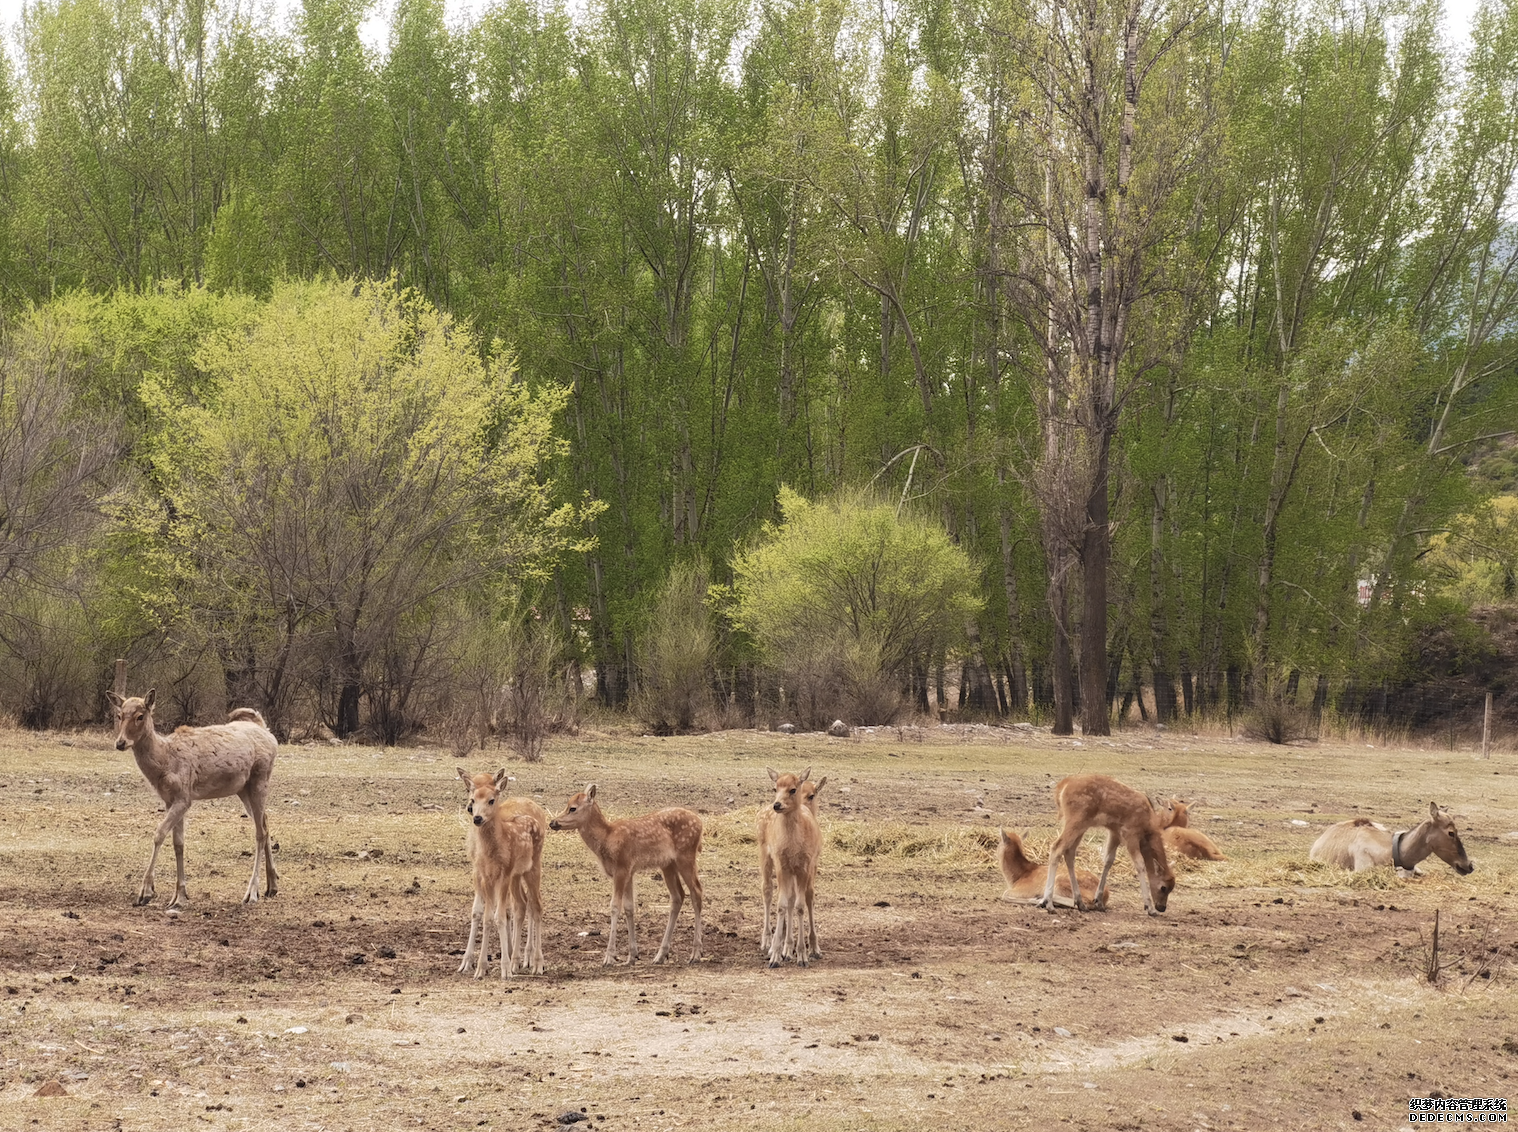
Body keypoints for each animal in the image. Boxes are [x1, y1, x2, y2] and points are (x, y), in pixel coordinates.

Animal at [112, 688, 282, 910]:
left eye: (140, 716)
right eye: (119, 715)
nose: (120, 742)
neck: (164, 763)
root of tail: (266, 730)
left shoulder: (184, 797)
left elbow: (159, 833)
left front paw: (146, 892)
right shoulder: (170, 800)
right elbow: (178, 842)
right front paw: (179, 896)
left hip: (260, 779)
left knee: (260, 832)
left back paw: (251, 892)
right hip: (243, 789)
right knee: (266, 822)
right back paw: (272, 886)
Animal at [455, 767, 552, 977]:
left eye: (492, 799)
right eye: (471, 795)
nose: (475, 815)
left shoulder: (504, 873)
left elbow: (499, 916)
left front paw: (504, 968)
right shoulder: (482, 873)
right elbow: (483, 915)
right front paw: (473, 965)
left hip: (533, 867)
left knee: (536, 905)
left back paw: (535, 963)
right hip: (517, 875)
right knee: (522, 904)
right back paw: (519, 959)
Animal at [552, 782, 704, 959]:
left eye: (573, 808)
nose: (552, 822)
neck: (607, 838)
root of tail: (700, 823)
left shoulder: (622, 868)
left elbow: (615, 906)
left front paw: (609, 957)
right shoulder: (629, 872)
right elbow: (629, 908)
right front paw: (632, 956)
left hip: (686, 854)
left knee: (696, 891)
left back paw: (695, 954)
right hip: (668, 864)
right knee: (678, 896)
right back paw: (660, 955)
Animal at [1038, 770, 1177, 910]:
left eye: (1172, 887)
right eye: (1163, 887)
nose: (1162, 907)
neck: (1147, 826)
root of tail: (1062, 787)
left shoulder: (1115, 832)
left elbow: (1109, 860)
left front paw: (1098, 901)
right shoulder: (1130, 833)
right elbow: (1139, 864)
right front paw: (1149, 907)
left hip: (1081, 825)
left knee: (1069, 852)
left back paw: (1080, 903)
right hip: (1075, 819)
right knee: (1056, 847)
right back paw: (1048, 903)